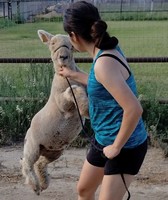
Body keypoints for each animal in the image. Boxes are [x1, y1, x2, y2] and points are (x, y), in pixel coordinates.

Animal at [20, 29, 88, 195]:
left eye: (71, 46)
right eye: (52, 43)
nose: (63, 56)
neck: (66, 77)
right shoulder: (62, 103)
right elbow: (73, 90)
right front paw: (85, 108)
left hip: (54, 151)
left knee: (40, 163)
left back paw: (44, 184)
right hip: (32, 146)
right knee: (27, 163)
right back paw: (35, 186)